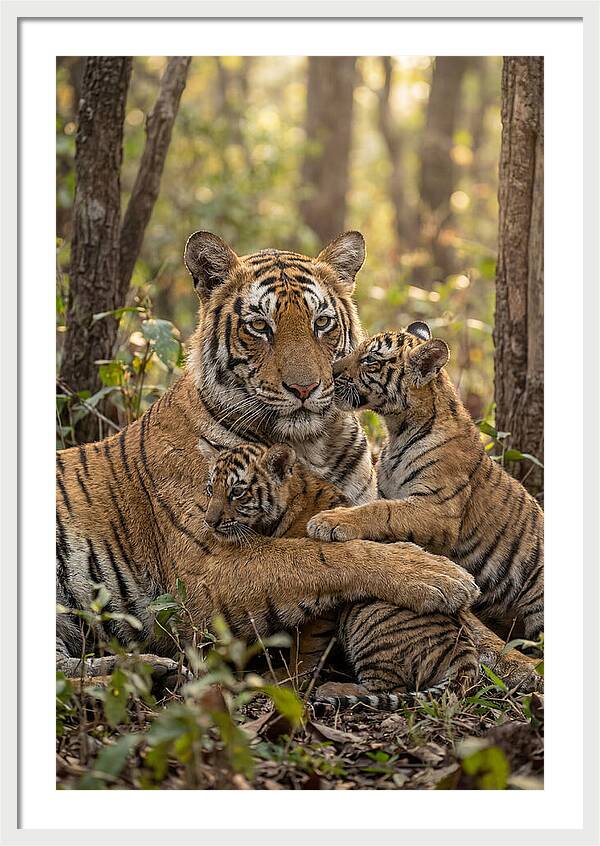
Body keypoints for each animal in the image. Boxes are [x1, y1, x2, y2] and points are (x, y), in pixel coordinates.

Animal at [56, 232, 480, 677]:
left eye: (322, 323)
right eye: (260, 326)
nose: (305, 388)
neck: (310, 444)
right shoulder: (208, 567)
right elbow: (317, 555)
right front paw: (438, 574)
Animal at [198, 438, 480, 704]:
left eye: (237, 492)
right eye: (211, 489)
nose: (209, 522)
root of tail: (464, 649)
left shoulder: (321, 602)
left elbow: (306, 646)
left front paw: (289, 677)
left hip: (368, 618)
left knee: (389, 687)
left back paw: (333, 689)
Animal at [307, 322, 544, 643]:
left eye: (370, 360)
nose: (330, 372)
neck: (398, 429)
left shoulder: (438, 508)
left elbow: (382, 511)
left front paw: (329, 521)